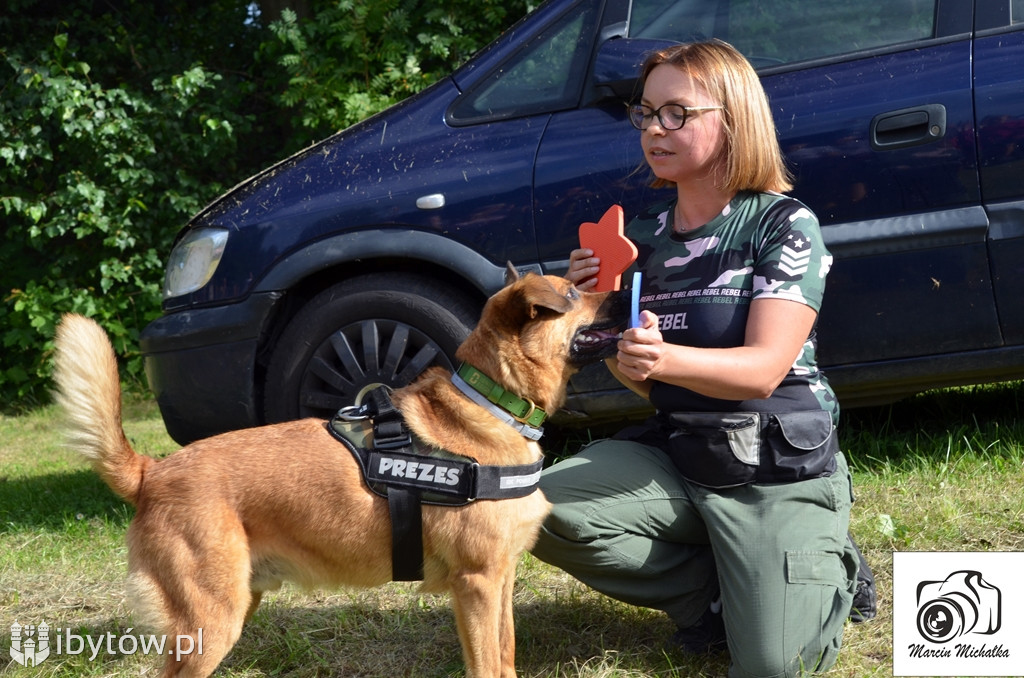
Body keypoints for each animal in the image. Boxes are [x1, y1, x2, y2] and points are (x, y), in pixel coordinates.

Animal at [54, 270, 630, 678]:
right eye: (574, 291)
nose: (630, 291)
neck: (494, 402)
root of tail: (150, 473)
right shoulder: (478, 584)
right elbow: (489, 665)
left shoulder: (498, 581)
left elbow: (504, 656)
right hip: (209, 623)